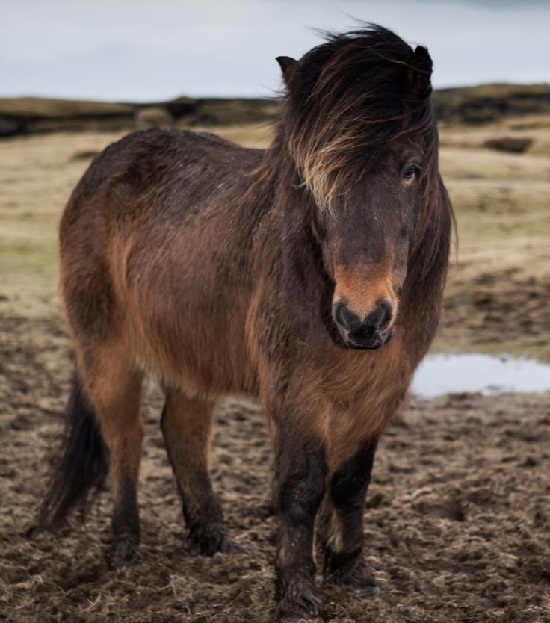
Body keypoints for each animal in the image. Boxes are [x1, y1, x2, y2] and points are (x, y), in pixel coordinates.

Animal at [37, 23, 452, 620]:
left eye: (411, 170)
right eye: (310, 181)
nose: (361, 319)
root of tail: (104, 164)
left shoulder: (380, 391)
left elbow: (351, 482)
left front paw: (354, 573)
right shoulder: (296, 392)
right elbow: (301, 487)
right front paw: (296, 593)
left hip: (191, 355)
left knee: (182, 432)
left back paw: (213, 539)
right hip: (105, 353)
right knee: (126, 442)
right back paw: (125, 548)